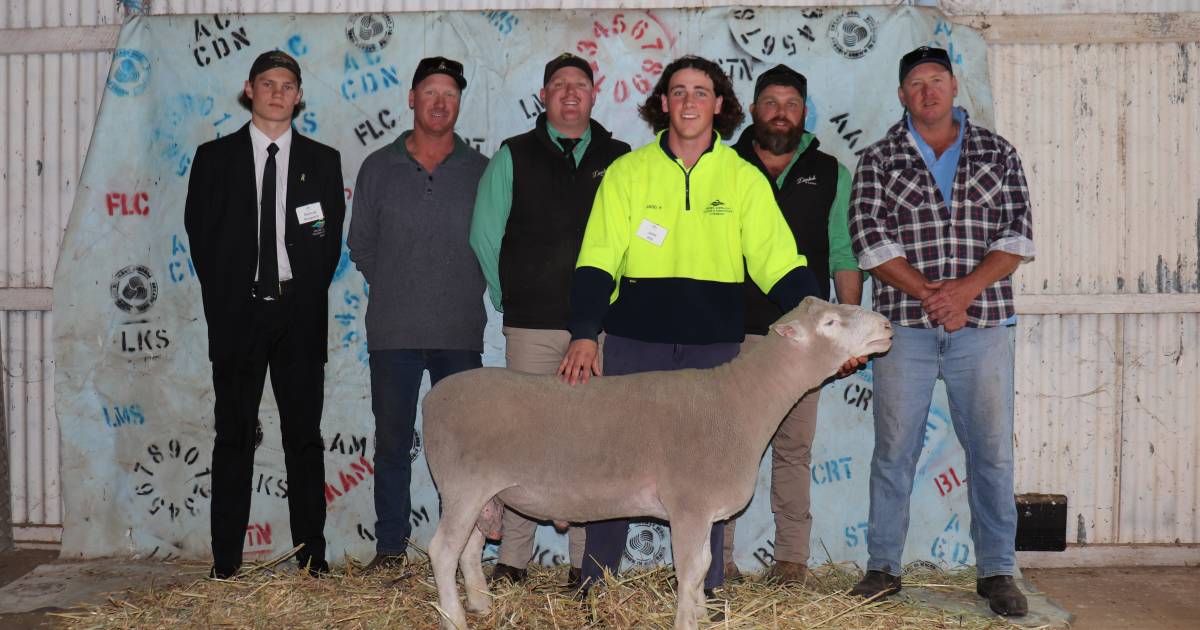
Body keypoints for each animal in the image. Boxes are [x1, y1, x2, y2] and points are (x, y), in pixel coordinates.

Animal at [422, 296, 892, 628]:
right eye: (830, 324)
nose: (888, 326)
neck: (739, 402)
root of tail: (433, 398)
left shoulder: (704, 513)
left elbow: (703, 564)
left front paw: (700, 612)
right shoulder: (689, 505)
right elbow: (691, 566)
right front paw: (687, 621)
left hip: (486, 495)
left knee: (469, 549)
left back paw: (481, 605)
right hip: (463, 486)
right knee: (443, 551)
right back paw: (455, 619)